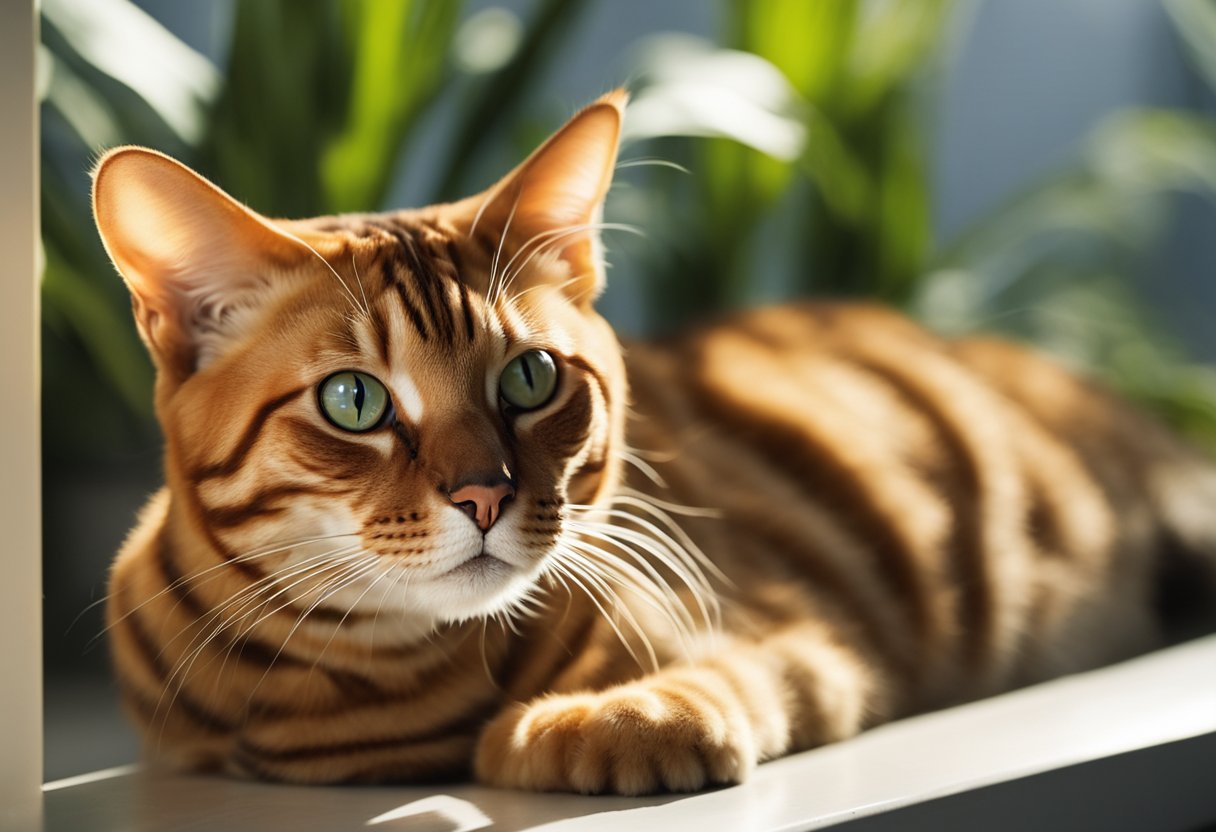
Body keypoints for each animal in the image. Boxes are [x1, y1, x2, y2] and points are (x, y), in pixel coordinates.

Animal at [94, 89, 1216, 793]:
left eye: (529, 377)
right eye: (355, 402)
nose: (485, 493)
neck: (373, 689)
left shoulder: (789, 636)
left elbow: (708, 684)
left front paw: (583, 722)